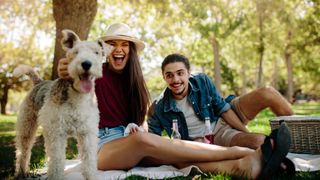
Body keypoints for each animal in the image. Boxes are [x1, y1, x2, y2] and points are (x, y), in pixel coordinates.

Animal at [13, 28, 112, 179]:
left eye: (96, 52)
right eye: (75, 52)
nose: (86, 64)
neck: (77, 97)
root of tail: (39, 82)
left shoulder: (87, 133)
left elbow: (89, 161)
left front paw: (92, 176)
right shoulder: (56, 133)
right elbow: (57, 162)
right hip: (27, 125)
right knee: (23, 151)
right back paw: (21, 173)